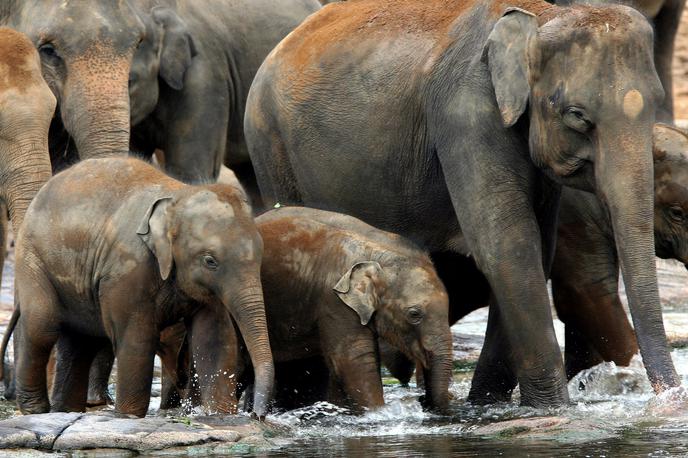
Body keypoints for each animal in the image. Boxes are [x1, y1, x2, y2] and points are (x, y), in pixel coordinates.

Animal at [245, 0, 680, 408]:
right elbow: (509, 248)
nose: (669, 398)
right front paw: (553, 408)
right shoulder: (465, 115)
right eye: (576, 116)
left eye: (656, 102)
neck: (539, 16)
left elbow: (538, 250)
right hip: (269, 145)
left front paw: (488, 404)